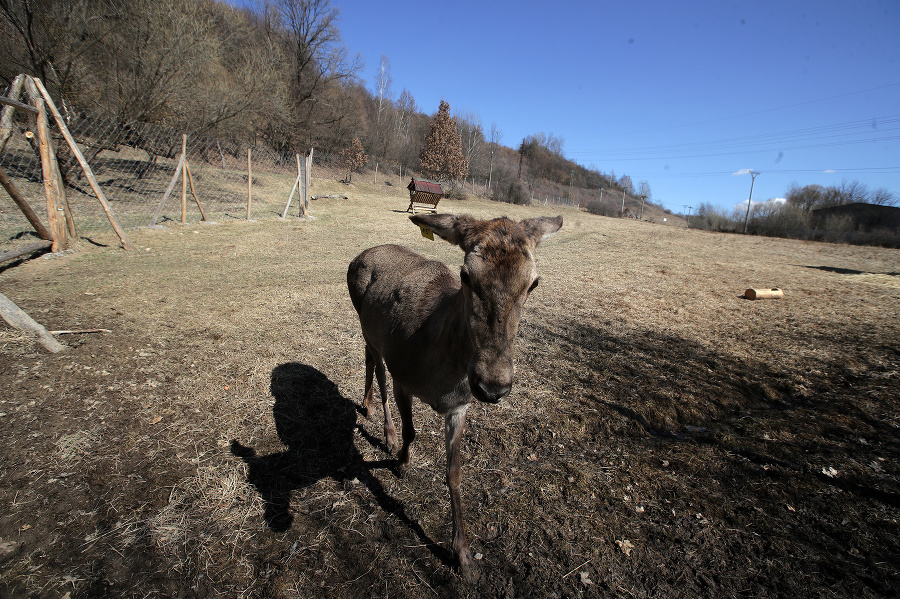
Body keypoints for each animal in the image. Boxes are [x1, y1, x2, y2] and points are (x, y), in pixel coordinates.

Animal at [346, 213, 564, 580]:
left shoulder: (460, 406)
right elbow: (411, 429)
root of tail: (361, 254)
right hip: (369, 329)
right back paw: (384, 430)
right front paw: (402, 463)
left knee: (367, 358)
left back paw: (367, 406)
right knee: (378, 370)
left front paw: (462, 555)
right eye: (465, 274)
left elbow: (455, 473)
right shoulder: (404, 376)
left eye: (533, 283)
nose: (492, 386)